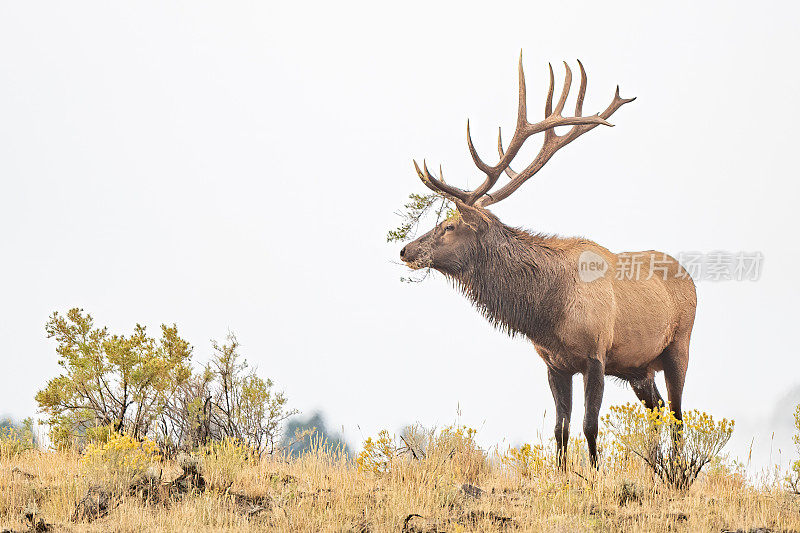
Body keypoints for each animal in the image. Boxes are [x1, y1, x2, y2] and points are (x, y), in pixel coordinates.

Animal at [400, 57, 692, 466]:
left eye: (450, 225)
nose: (406, 251)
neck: (547, 314)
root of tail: (689, 276)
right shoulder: (554, 364)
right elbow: (559, 429)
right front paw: (563, 474)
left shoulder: (596, 355)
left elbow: (589, 427)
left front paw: (593, 476)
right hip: (639, 367)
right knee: (658, 408)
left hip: (679, 345)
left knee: (678, 412)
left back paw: (677, 472)